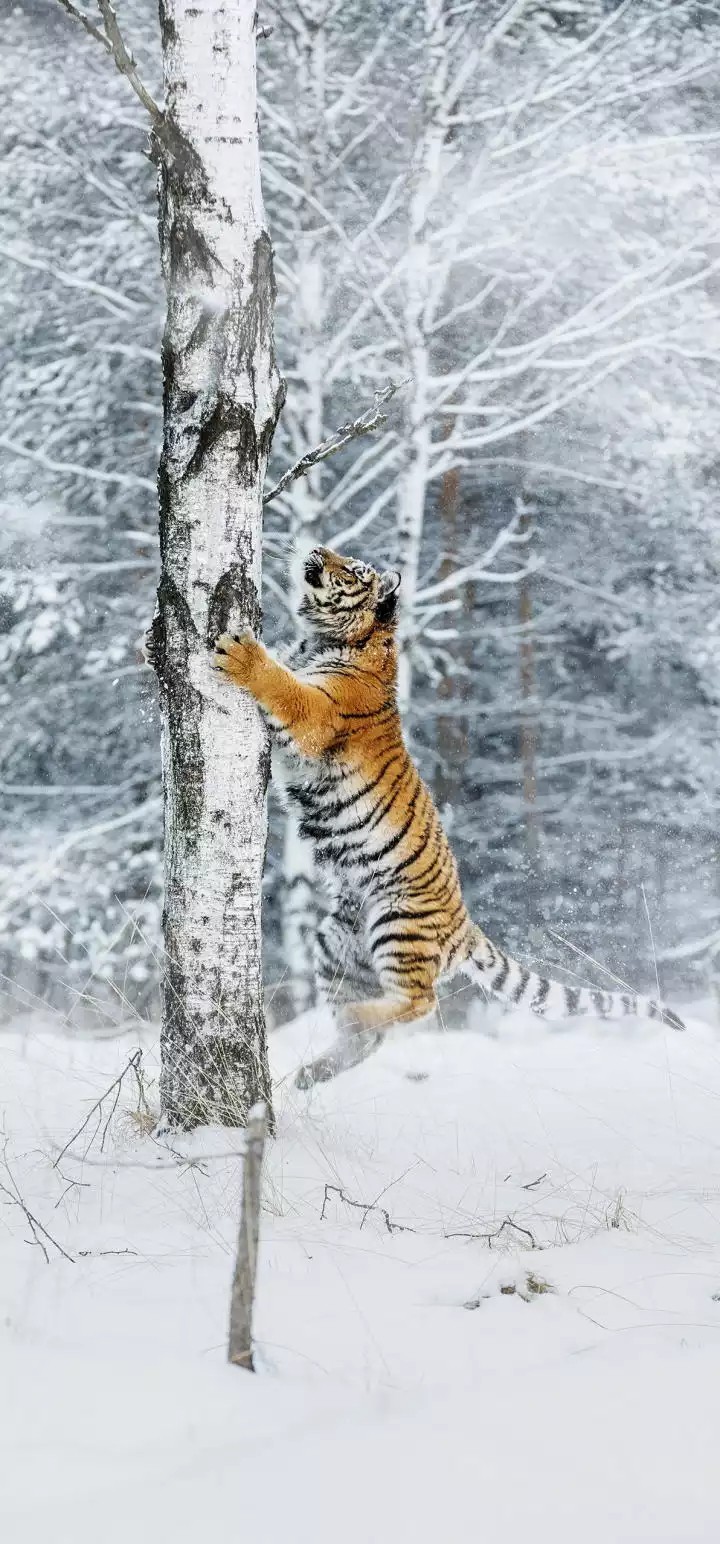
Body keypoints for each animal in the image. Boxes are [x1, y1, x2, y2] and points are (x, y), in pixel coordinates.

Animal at [214, 544, 684, 1087]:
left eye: (352, 570)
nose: (315, 549)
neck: (330, 639)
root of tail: (465, 924)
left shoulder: (318, 713)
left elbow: (282, 685)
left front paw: (242, 655)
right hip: (338, 945)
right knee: (370, 1037)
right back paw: (310, 1073)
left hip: (399, 926)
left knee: (421, 1002)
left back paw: (346, 1029)